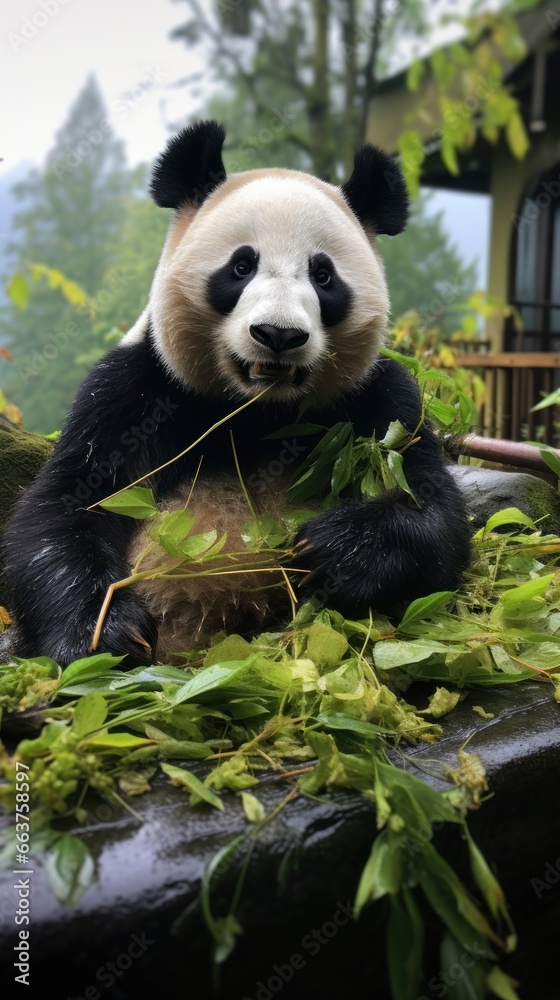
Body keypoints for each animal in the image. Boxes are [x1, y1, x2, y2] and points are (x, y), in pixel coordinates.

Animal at [2, 121, 472, 668]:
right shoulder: (133, 391)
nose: (278, 334)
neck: (257, 409)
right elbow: (69, 504)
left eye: (323, 275)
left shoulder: (379, 398)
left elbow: (432, 507)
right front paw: (104, 633)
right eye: (241, 266)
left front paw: (332, 550)